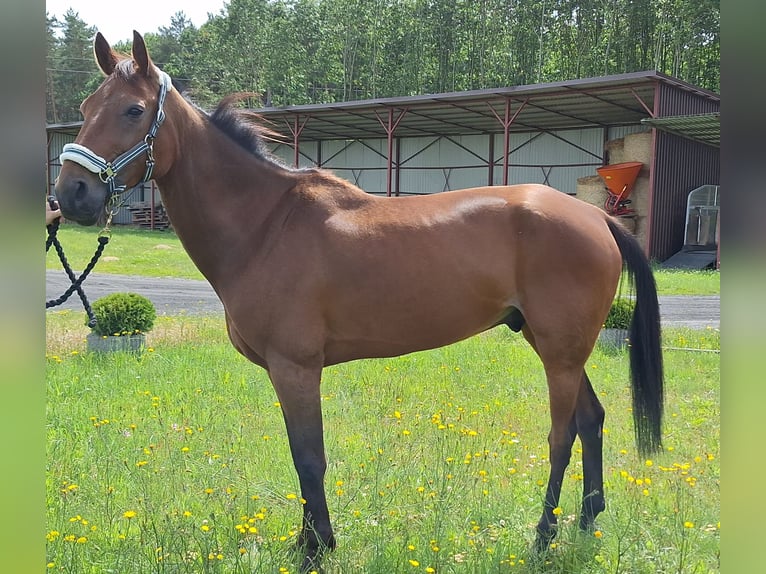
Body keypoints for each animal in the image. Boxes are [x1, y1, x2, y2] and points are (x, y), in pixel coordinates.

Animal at [57, 32, 664, 574]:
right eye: (85, 108)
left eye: (134, 110)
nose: (71, 195)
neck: (266, 224)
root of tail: (596, 216)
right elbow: (303, 458)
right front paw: (309, 544)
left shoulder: (296, 367)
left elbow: (309, 458)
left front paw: (315, 551)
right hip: (556, 345)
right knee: (592, 419)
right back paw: (587, 522)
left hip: (559, 353)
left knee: (563, 435)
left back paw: (542, 539)